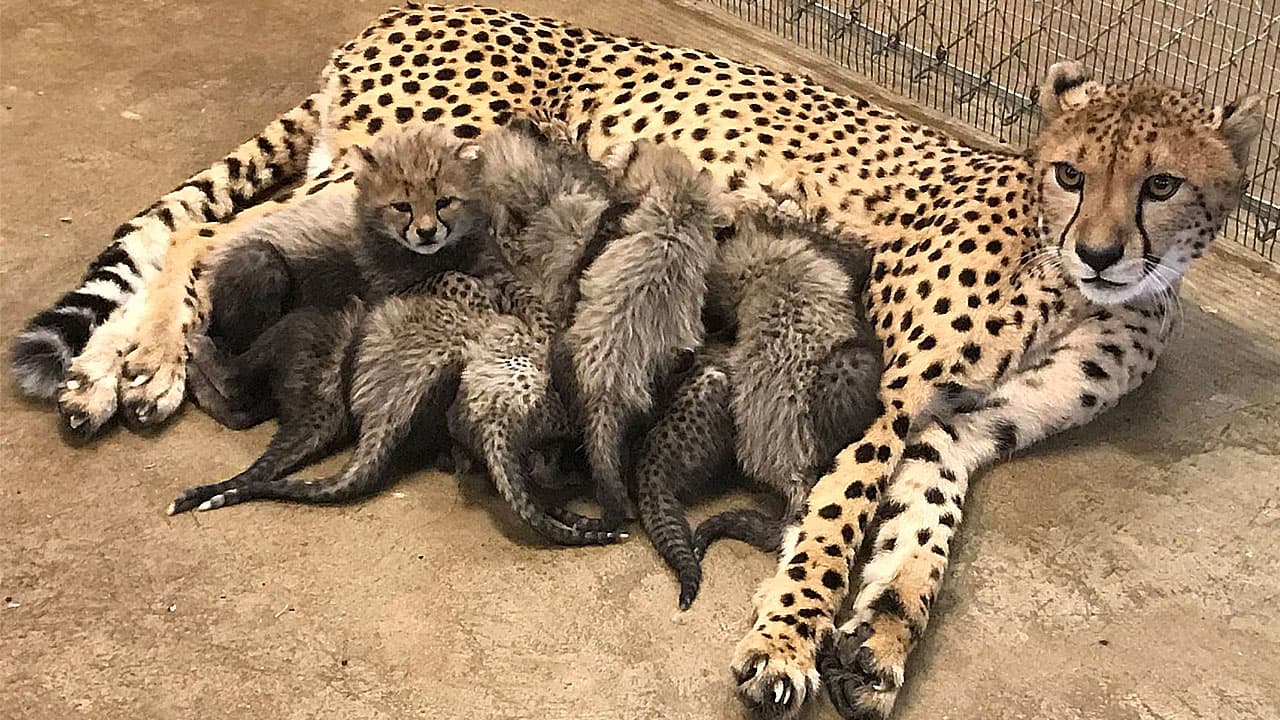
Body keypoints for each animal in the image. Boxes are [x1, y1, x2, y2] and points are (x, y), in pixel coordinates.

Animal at [10, 2, 1264, 712]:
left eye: (1161, 183)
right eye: (1069, 172)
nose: (1100, 249)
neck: (1079, 286)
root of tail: (407, 8)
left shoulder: (960, 425)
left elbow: (921, 537)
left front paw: (879, 642)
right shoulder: (892, 396)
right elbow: (834, 520)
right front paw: (786, 640)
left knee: (196, 229)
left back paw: (107, 369)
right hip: (408, 166)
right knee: (215, 232)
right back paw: (145, 366)